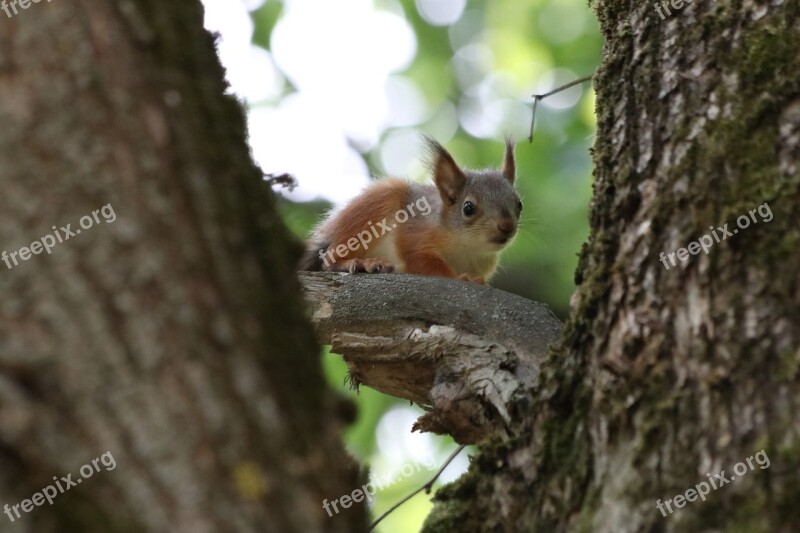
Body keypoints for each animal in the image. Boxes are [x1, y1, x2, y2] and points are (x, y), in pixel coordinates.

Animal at [298, 139, 520, 284]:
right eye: (468, 207)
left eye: (519, 204)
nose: (507, 226)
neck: (466, 246)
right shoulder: (416, 233)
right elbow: (421, 260)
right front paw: (460, 278)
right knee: (330, 257)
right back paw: (360, 262)